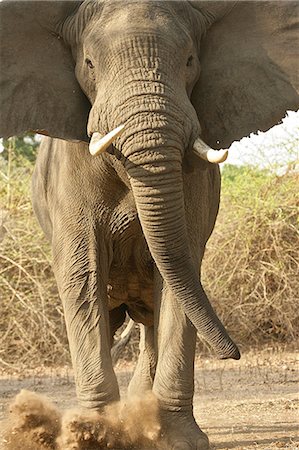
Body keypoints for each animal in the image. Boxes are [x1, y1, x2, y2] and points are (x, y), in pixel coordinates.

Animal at [0, 0, 299, 446]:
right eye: (88, 63)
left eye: (190, 61)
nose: (235, 352)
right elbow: (82, 274)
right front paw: (94, 436)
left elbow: (179, 271)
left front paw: (178, 440)